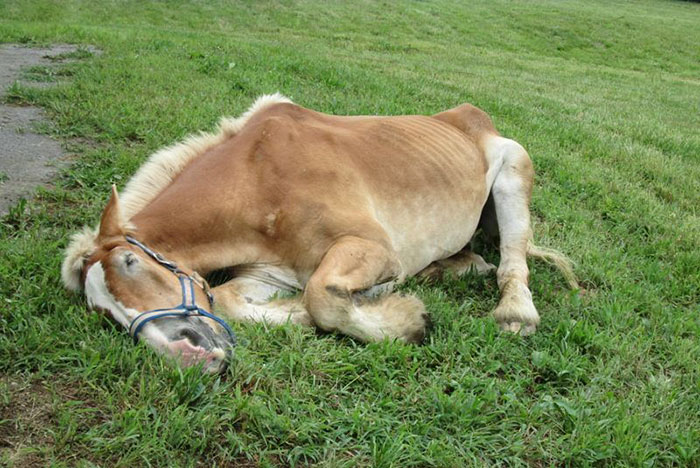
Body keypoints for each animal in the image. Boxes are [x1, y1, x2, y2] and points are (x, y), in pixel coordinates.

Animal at [62, 94, 576, 373]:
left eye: (131, 262)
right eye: (101, 313)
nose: (185, 356)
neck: (260, 182)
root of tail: (471, 118)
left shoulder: (372, 248)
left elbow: (323, 295)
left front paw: (407, 321)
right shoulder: (268, 274)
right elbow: (235, 300)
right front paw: (306, 316)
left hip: (513, 177)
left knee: (513, 262)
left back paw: (515, 313)